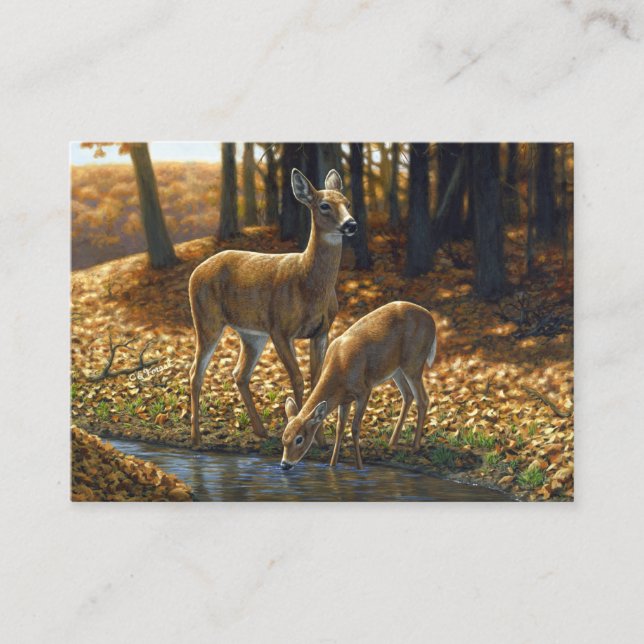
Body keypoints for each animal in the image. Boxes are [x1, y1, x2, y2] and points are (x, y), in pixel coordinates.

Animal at [188, 167, 357, 448]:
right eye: (324, 205)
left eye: (347, 203)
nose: (350, 224)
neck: (309, 284)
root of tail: (194, 272)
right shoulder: (280, 329)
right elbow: (297, 378)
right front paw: (306, 437)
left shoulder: (321, 331)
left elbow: (316, 380)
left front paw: (321, 440)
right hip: (207, 320)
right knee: (195, 373)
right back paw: (197, 439)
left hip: (252, 334)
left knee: (240, 374)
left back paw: (261, 431)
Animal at [280, 301, 437, 470]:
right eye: (283, 438)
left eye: (299, 439)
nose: (284, 464)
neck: (339, 368)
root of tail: (431, 319)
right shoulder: (345, 399)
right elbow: (340, 428)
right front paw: (332, 465)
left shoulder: (364, 390)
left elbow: (355, 428)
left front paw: (360, 467)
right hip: (396, 369)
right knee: (408, 395)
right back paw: (392, 443)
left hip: (414, 362)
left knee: (423, 399)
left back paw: (415, 447)